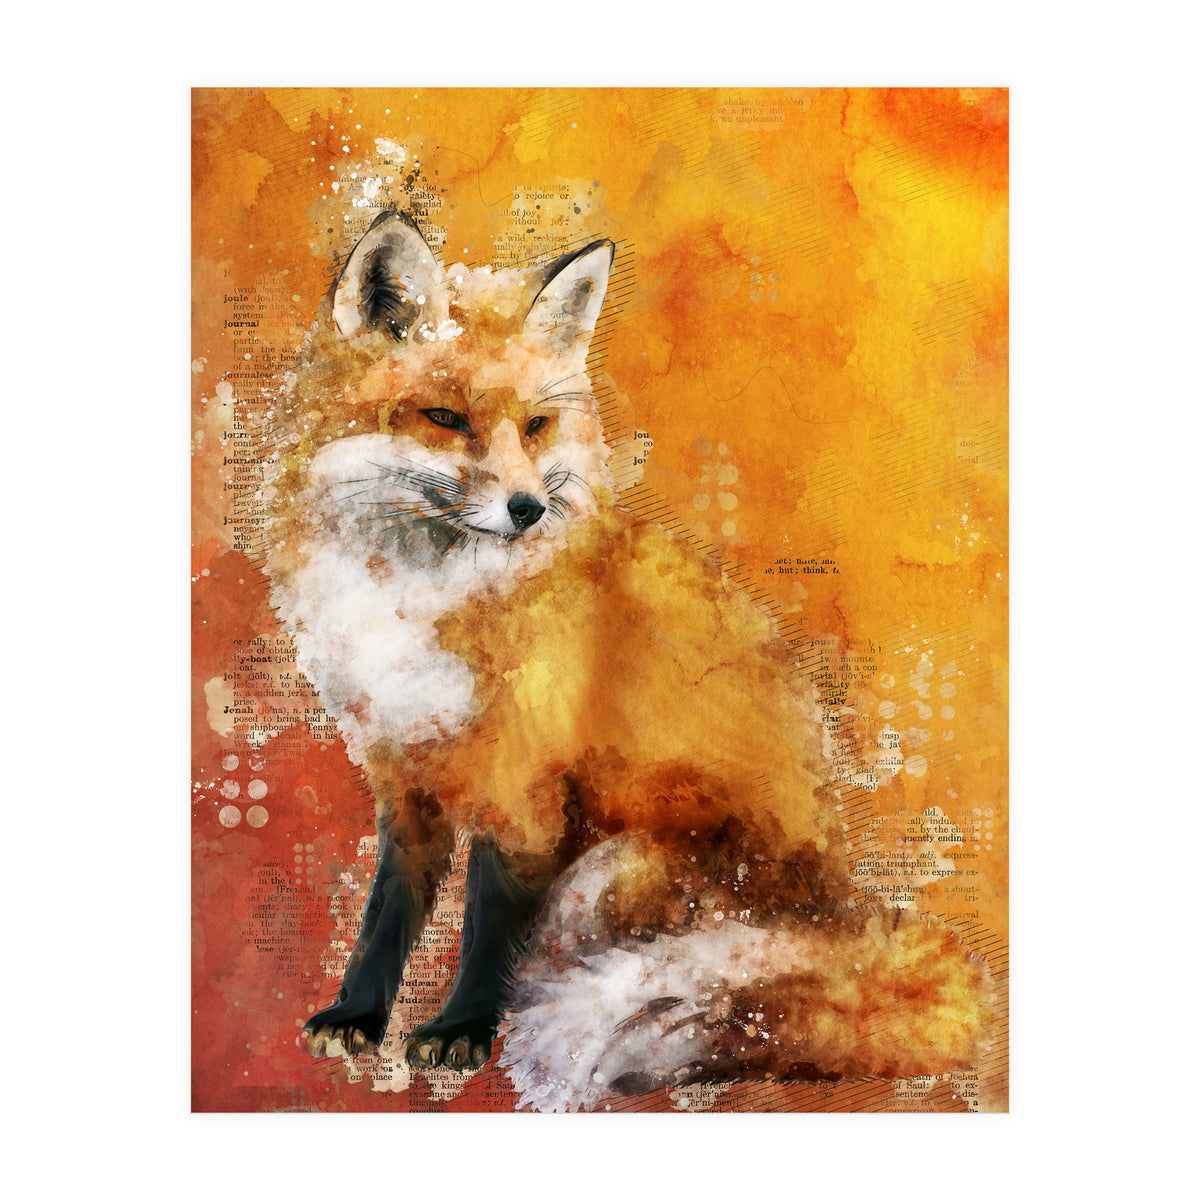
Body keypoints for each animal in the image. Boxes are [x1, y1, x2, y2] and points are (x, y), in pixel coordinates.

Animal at [263, 209, 991, 1109]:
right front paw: (357, 1017)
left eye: (536, 426)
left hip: (614, 864)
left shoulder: (528, 785)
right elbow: (387, 913)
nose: (528, 509)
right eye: (443, 417)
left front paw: (463, 1029)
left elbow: (488, 924)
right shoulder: (404, 771)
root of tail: (840, 911)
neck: (426, 597)